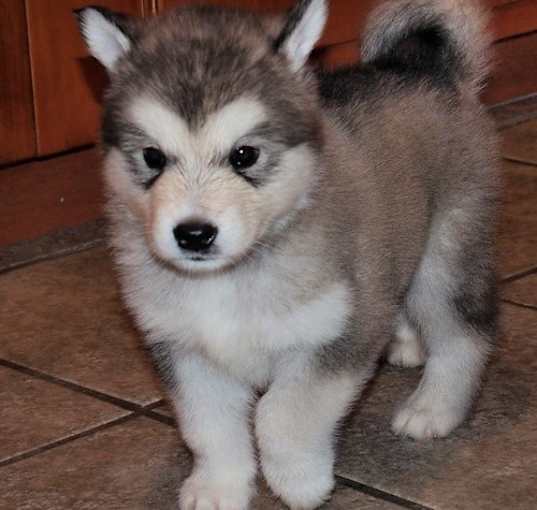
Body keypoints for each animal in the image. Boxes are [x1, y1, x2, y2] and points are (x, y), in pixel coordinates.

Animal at [75, 1, 498, 508]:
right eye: (153, 157)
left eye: (245, 155)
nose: (194, 234)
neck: (229, 278)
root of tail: (422, 68)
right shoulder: (184, 349)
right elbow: (208, 425)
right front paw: (218, 486)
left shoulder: (339, 332)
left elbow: (282, 413)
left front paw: (299, 480)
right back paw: (406, 343)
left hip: (445, 258)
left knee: (463, 335)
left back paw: (434, 407)